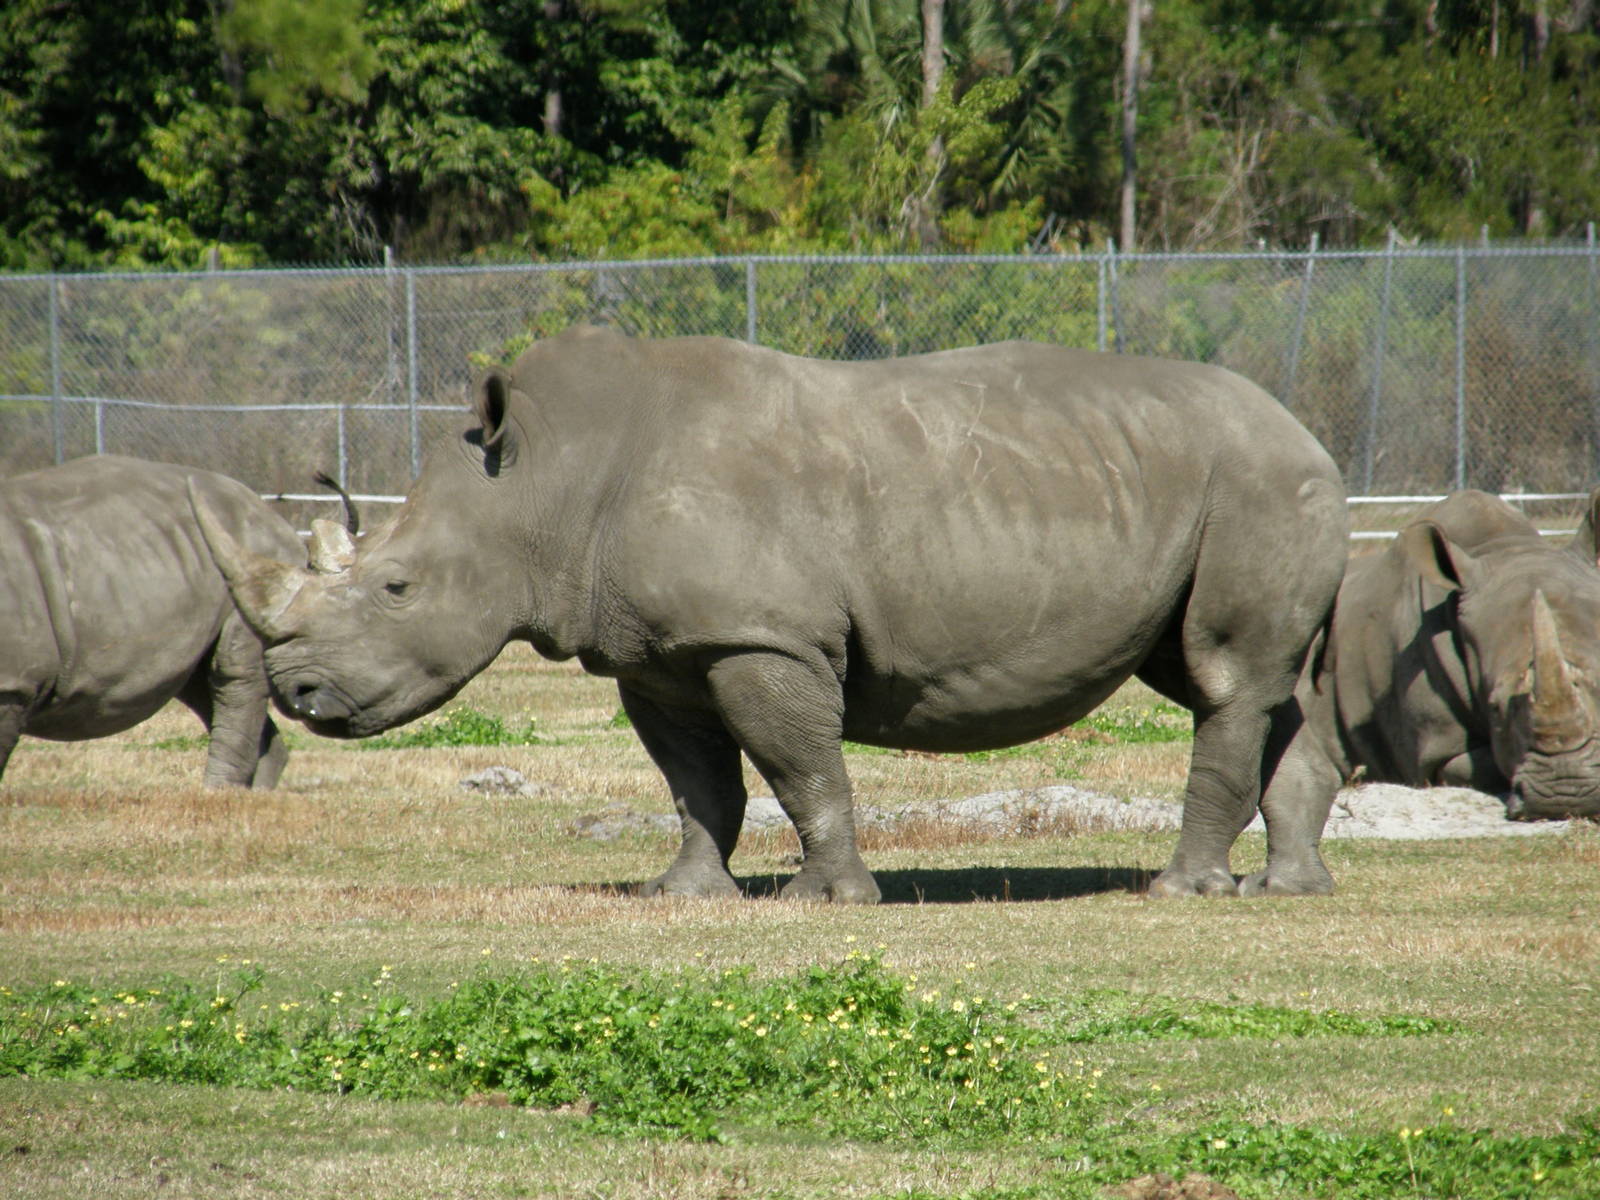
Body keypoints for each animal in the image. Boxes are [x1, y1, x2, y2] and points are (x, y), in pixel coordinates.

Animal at [0, 454, 310, 787]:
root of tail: (267, 511)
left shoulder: (12, 684)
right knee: (200, 682)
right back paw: (248, 794)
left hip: (255, 558)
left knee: (232, 675)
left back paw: (217, 792)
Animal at [194, 325, 1349, 901]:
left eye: (397, 589)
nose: (299, 691)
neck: (542, 479)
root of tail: (1310, 431)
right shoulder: (656, 652)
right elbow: (696, 780)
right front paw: (683, 896)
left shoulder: (760, 635)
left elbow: (800, 767)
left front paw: (829, 902)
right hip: (1184, 482)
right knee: (1235, 679)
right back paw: (1289, 889)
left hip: (1259, 481)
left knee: (1225, 673)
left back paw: (1182, 893)